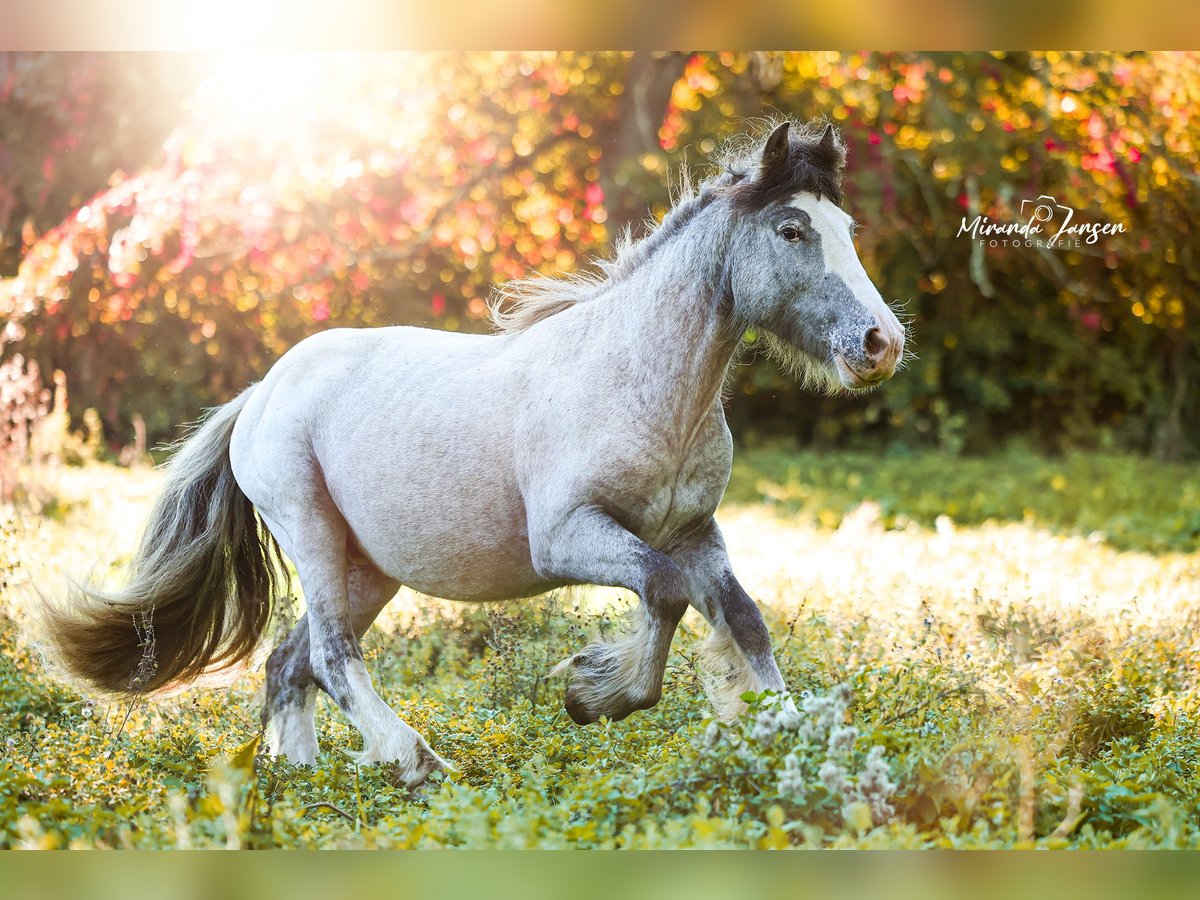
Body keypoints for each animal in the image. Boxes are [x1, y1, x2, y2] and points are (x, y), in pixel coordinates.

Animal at [42, 116, 902, 787]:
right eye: (792, 231)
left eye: (849, 232)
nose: (882, 343)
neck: (635, 381)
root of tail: (260, 392)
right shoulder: (569, 536)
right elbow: (663, 595)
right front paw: (593, 693)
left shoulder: (694, 531)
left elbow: (744, 619)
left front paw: (788, 732)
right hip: (310, 530)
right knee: (332, 654)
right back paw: (414, 759)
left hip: (369, 566)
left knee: (289, 662)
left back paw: (302, 774)